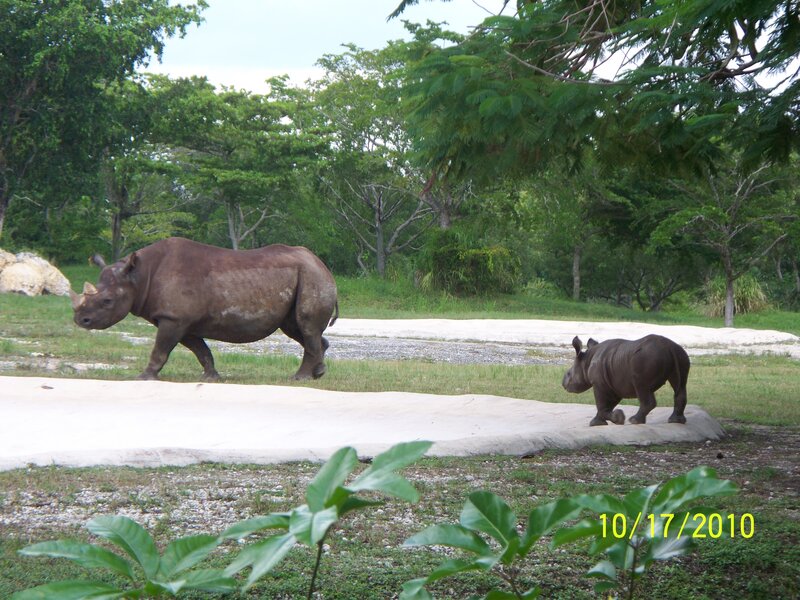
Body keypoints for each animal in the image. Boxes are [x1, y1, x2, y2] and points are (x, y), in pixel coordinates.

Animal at [70, 237, 338, 382]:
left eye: (107, 301)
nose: (81, 320)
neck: (139, 277)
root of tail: (323, 266)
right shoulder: (181, 321)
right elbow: (200, 350)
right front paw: (211, 377)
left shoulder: (173, 318)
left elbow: (160, 349)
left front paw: (144, 377)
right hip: (305, 276)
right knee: (297, 328)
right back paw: (318, 373)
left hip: (312, 277)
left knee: (306, 325)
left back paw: (300, 378)